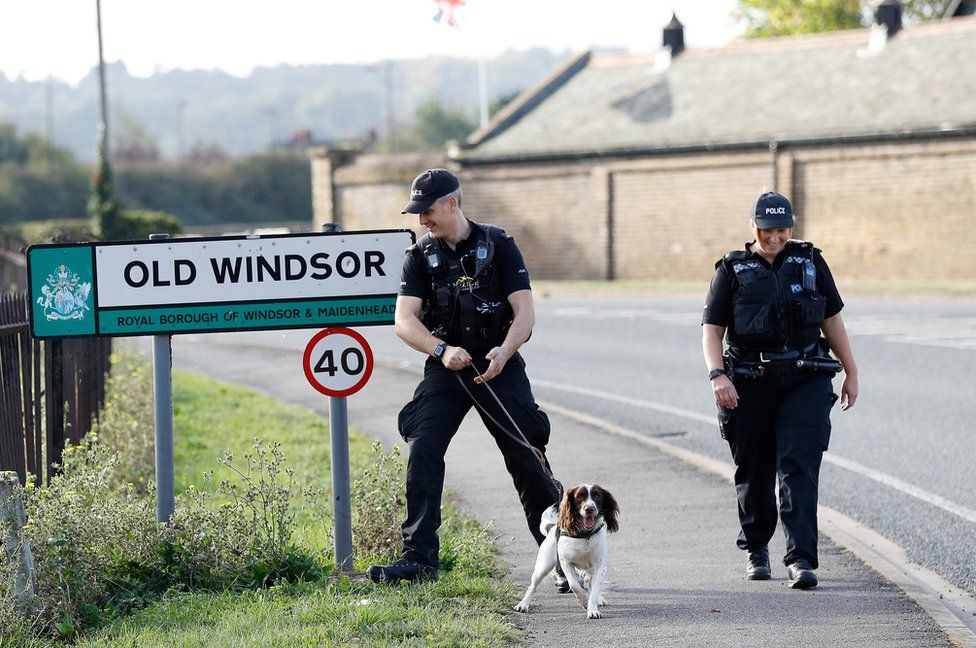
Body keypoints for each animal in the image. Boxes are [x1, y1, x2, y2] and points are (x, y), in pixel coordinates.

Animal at [516, 486, 620, 616]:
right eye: (579, 496)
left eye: (597, 496)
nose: (589, 509)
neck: (584, 535)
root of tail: (552, 527)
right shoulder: (566, 562)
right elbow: (574, 585)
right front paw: (584, 601)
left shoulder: (599, 566)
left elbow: (595, 589)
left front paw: (592, 610)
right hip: (543, 566)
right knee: (533, 586)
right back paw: (523, 605)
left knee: (590, 582)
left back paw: (598, 599)